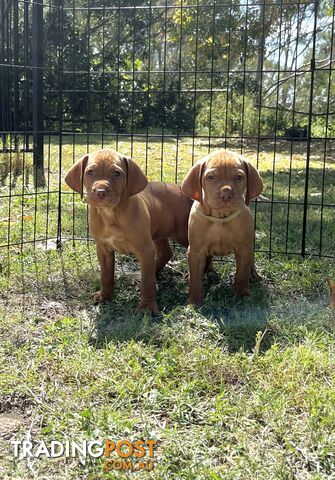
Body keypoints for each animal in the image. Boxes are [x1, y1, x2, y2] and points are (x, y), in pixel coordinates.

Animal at [182, 148, 264, 306]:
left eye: (238, 177)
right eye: (211, 177)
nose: (226, 194)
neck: (220, 218)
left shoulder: (243, 249)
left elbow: (241, 275)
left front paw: (243, 295)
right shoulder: (196, 251)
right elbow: (196, 280)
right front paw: (194, 301)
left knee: (250, 259)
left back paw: (253, 273)